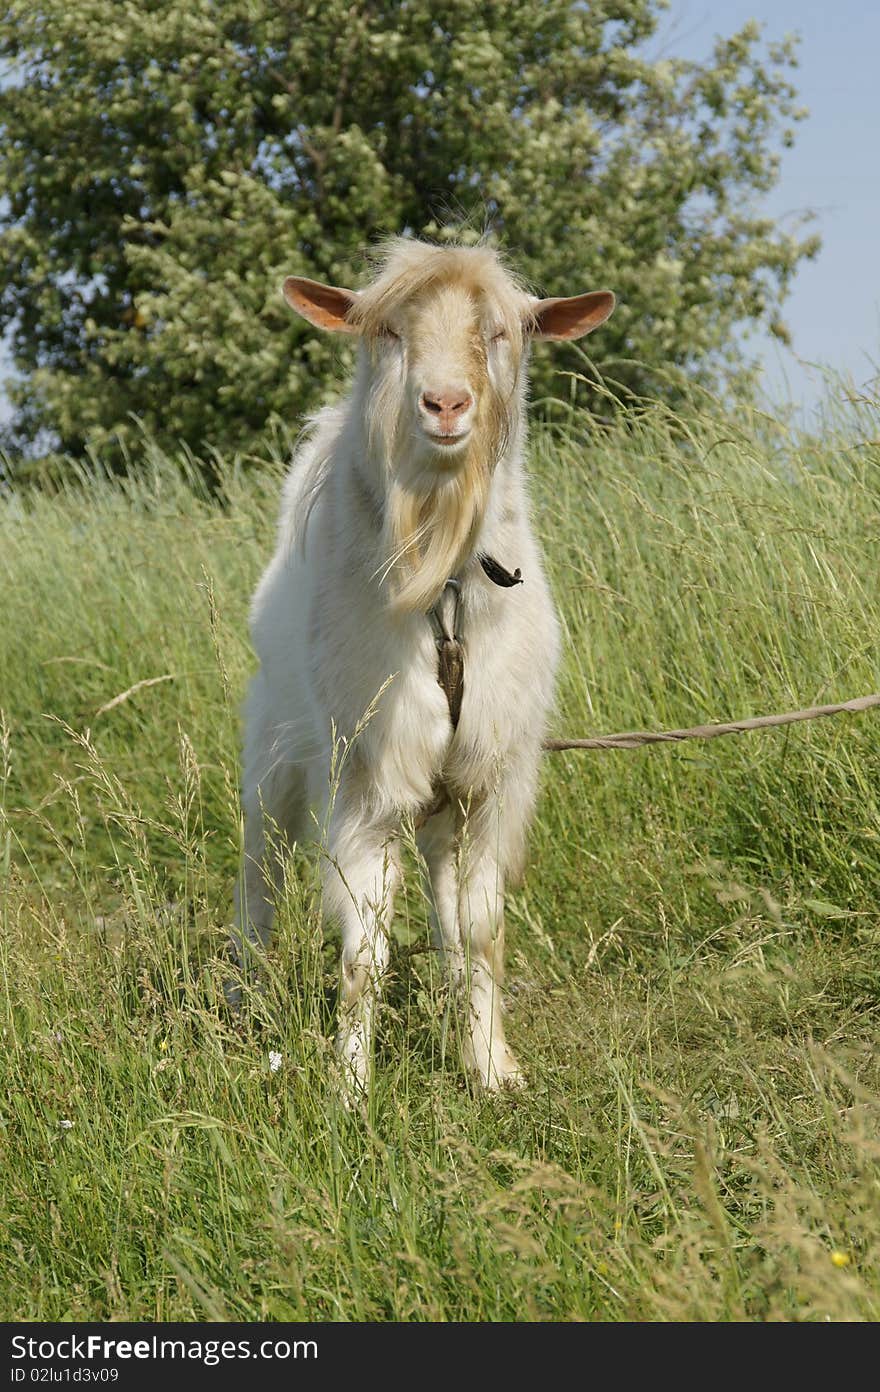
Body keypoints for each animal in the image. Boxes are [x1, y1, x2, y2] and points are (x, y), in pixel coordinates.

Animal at [229, 236, 615, 1085]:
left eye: (503, 332)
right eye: (389, 333)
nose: (444, 405)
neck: (444, 585)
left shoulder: (486, 781)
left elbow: (477, 931)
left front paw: (494, 1071)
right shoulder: (368, 779)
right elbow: (362, 953)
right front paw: (348, 1089)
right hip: (273, 755)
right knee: (259, 881)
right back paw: (239, 1008)